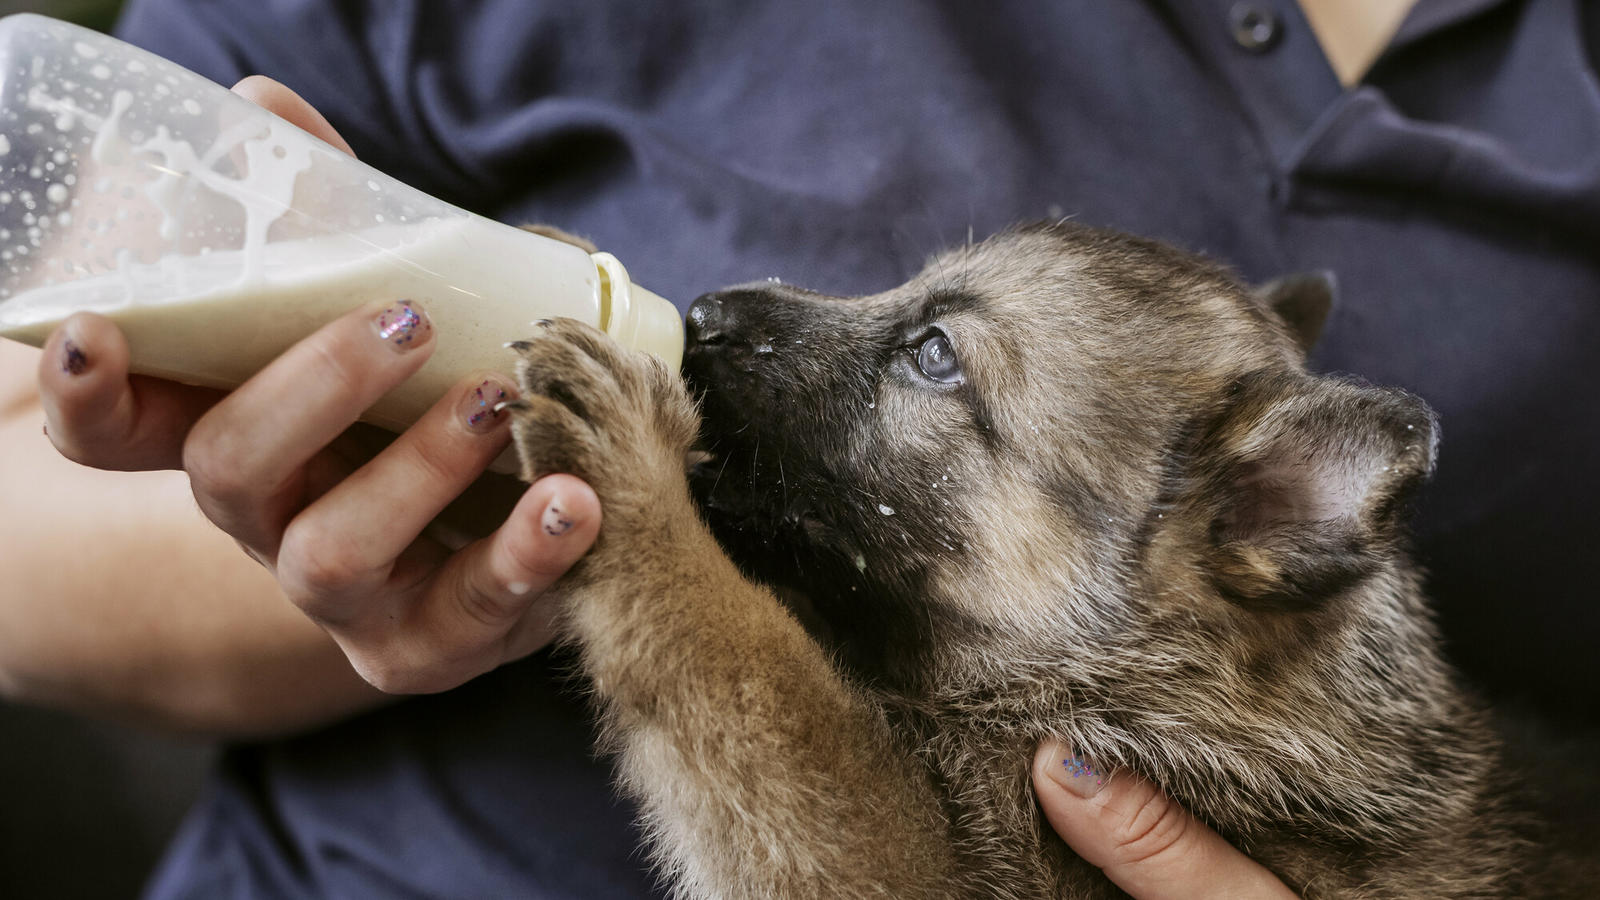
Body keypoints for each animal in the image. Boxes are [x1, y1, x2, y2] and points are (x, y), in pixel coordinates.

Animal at [505, 220, 1593, 890]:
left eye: (934, 354)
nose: (702, 315)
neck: (1154, 685)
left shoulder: (919, 860)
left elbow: (743, 654)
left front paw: (639, 479)